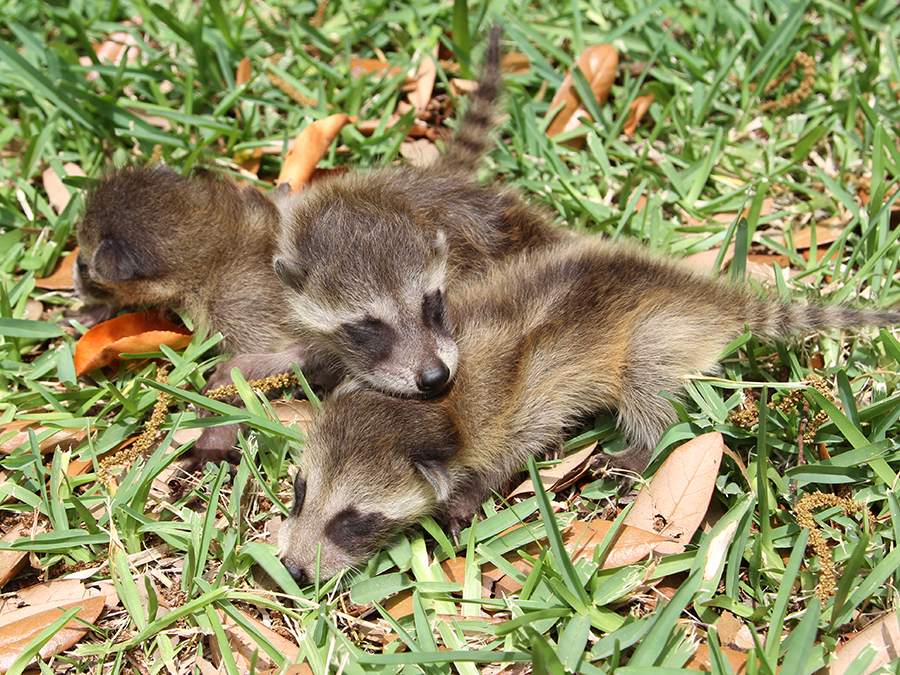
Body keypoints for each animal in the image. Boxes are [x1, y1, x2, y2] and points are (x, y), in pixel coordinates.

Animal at [280, 234, 900, 580]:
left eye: (353, 521)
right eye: (301, 491)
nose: (291, 570)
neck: (435, 411)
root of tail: (706, 296)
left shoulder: (516, 405)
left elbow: (518, 447)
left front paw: (467, 497)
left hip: (656, 331)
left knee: (645, 378)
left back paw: (644, 445)